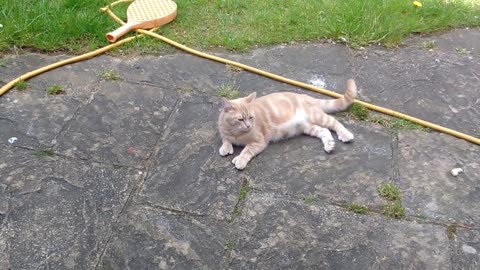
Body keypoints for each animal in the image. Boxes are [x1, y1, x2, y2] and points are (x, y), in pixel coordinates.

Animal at [218, 79, 356, 170]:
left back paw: (346, 135)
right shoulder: (224, 132)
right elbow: (225, 139)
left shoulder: (259, 142)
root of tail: (306, 96)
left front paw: (240, 160)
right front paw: (226, 147)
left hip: (317, 117)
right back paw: (329, 145)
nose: (248, 126)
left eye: (251, 117)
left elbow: (246, 151)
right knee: (324, 131)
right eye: (240, 119)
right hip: (307, 127)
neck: (235, 133)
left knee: (335, 123)